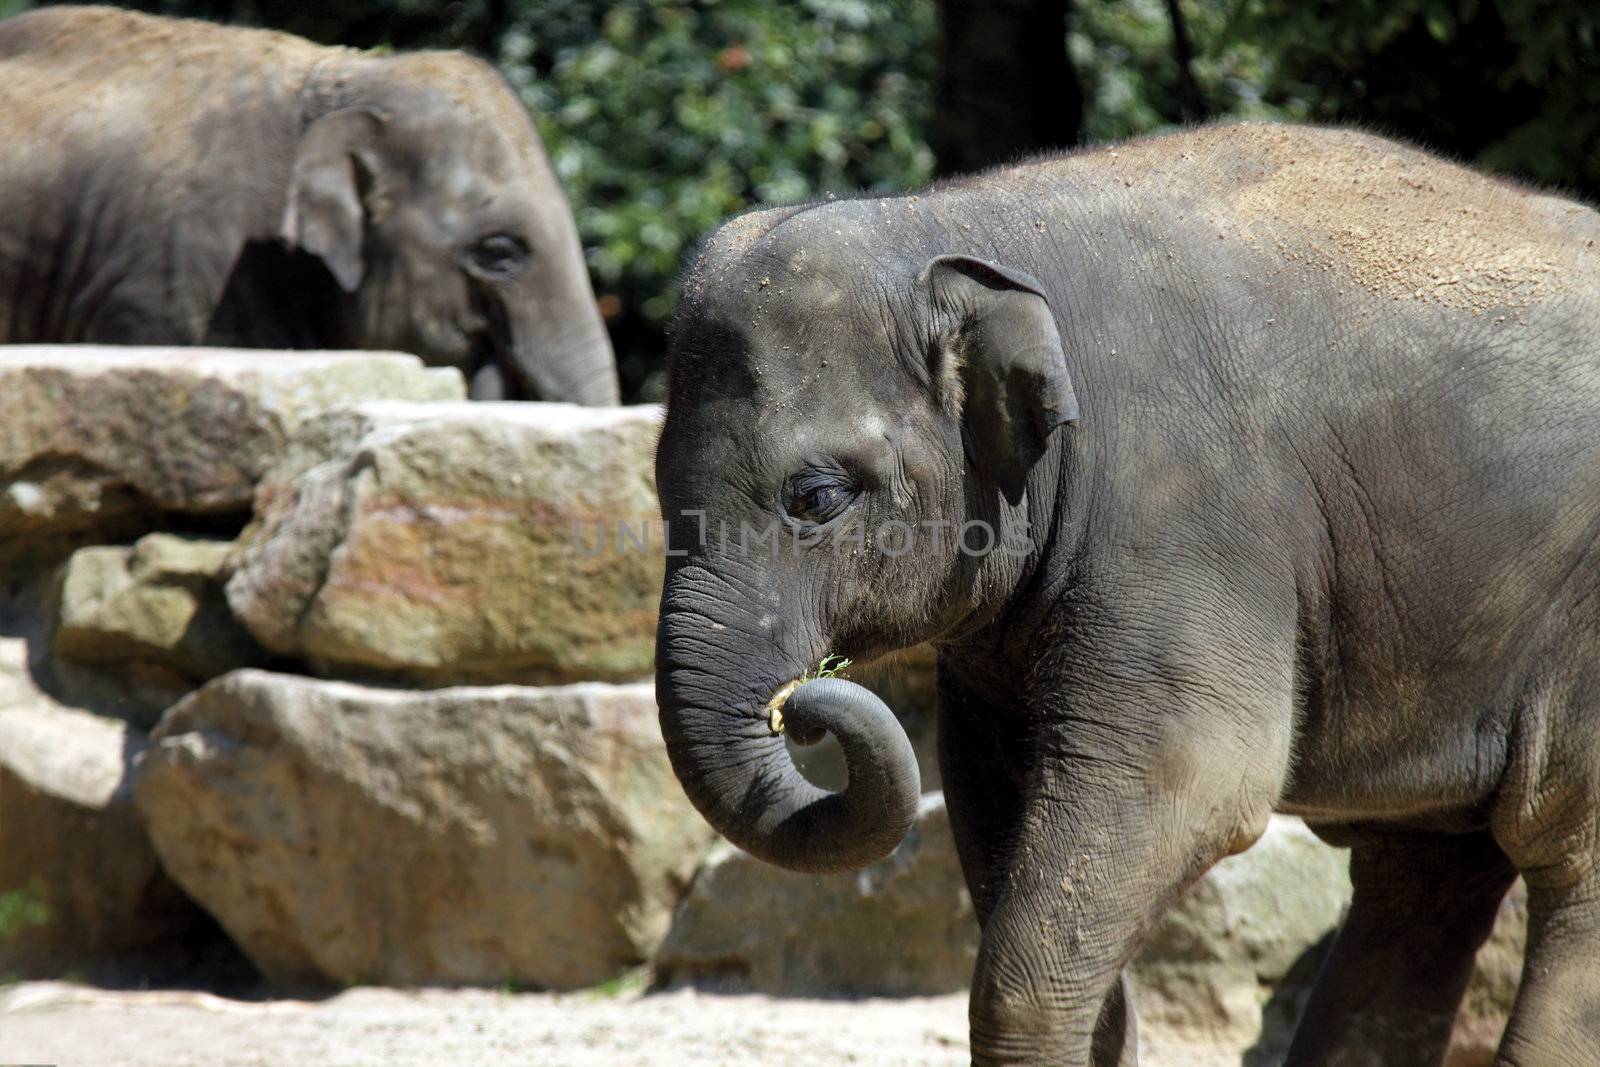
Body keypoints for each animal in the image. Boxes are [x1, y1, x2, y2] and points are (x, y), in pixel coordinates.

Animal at [652, 123, 1600, 1062]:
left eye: (816, 497)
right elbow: (995, 793)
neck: (963, 220)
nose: (802, 705)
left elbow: (1197, 778)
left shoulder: (1189, 512)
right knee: (1421, 876)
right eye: (658, 493)